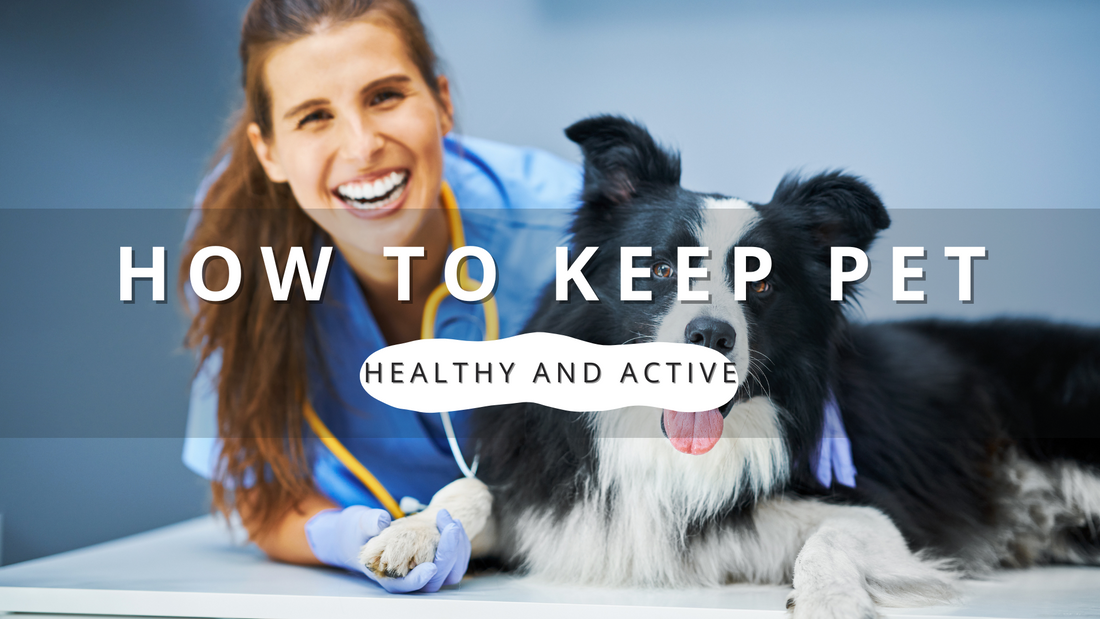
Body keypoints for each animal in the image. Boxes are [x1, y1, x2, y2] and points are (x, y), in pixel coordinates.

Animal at [360, 114, 1100, 615]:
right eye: (658, 268)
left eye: (761, 282)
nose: (710, 334)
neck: (665, 449)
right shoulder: (555, 498)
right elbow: (473, 491)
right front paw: (414, 532)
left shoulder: (880, 517)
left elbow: (834, 538)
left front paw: (830, 599)